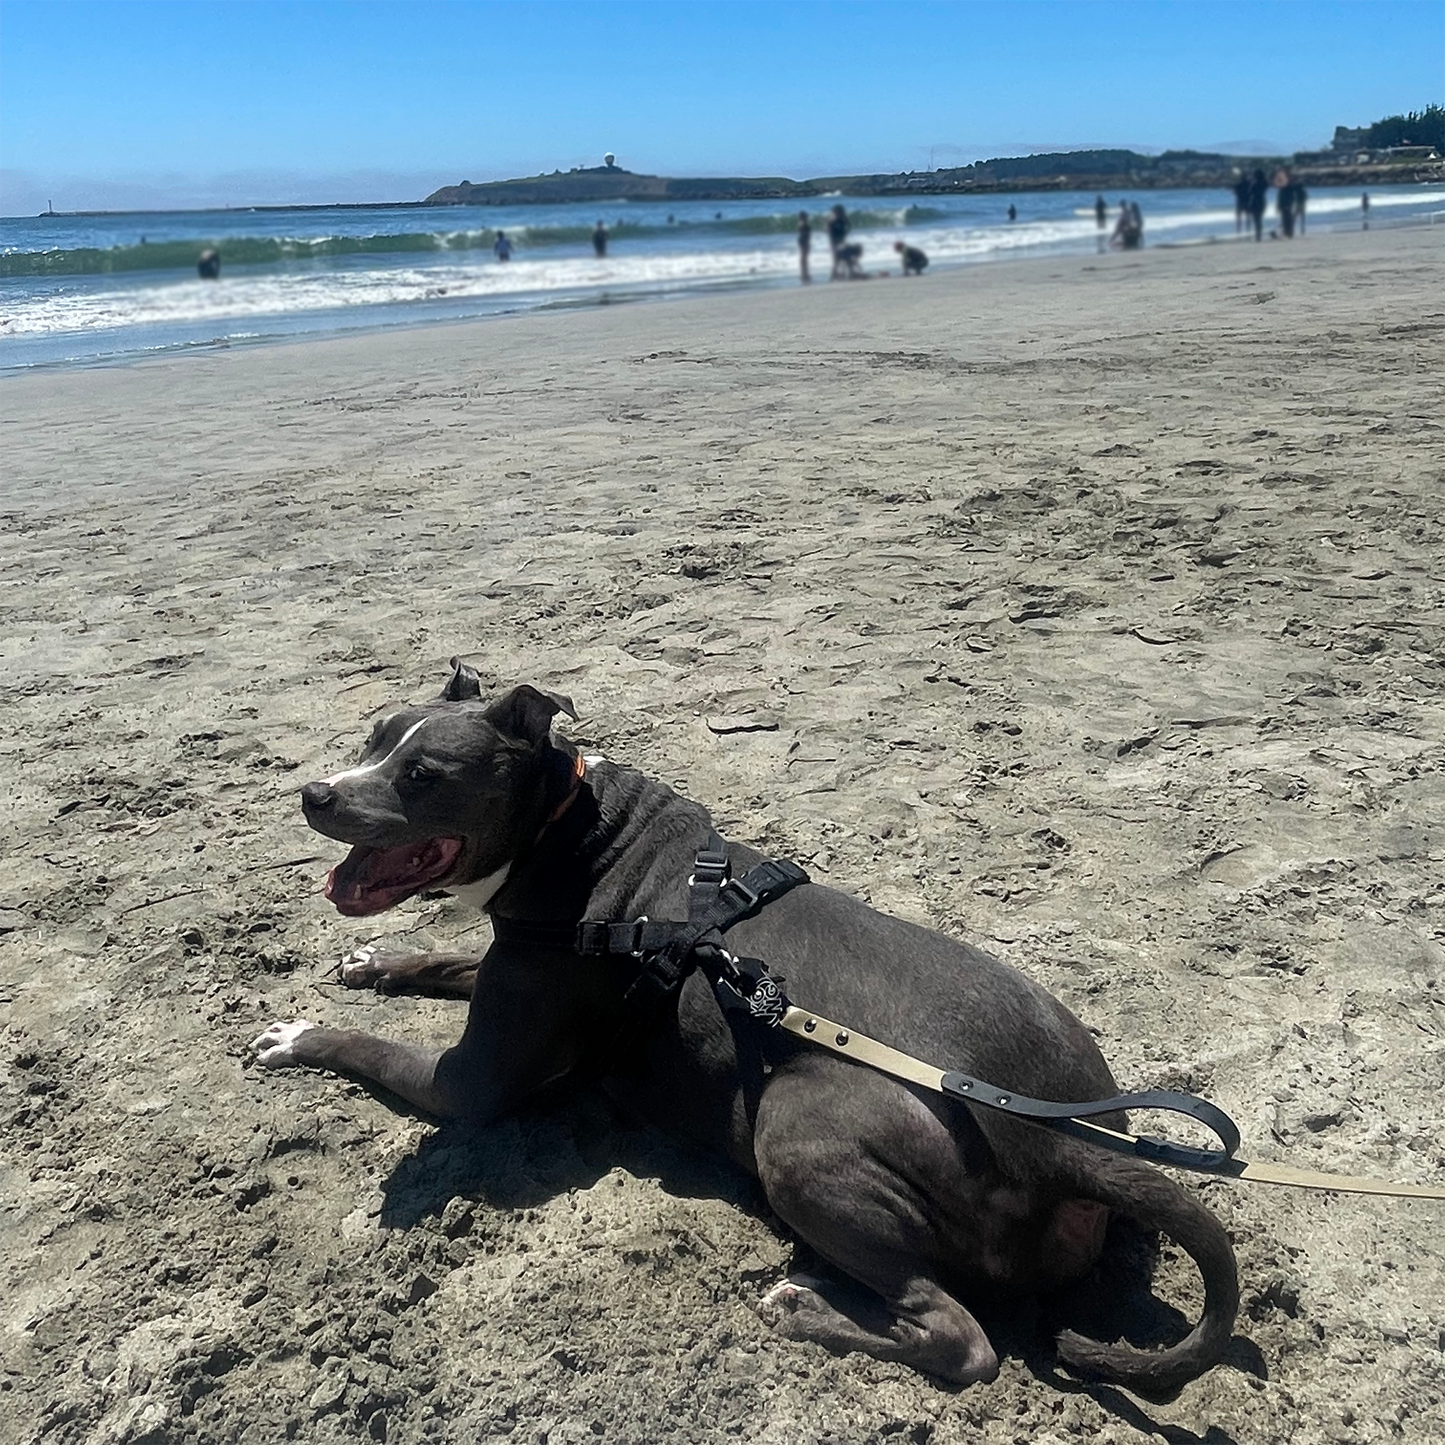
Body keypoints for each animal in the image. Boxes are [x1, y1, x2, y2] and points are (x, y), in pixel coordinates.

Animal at [254, 661, 1236, 1387]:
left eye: (424, 775)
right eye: (373, 737)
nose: (314, 792)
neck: (572, 833)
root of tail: (1062, 1140)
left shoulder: (471, 1083)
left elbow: (371, 1045)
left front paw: (297, 1035)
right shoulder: (511, 960)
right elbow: (437, 959)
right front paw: (371, 964)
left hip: (800, 1131)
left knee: (961, 1338)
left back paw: (805, 1310)